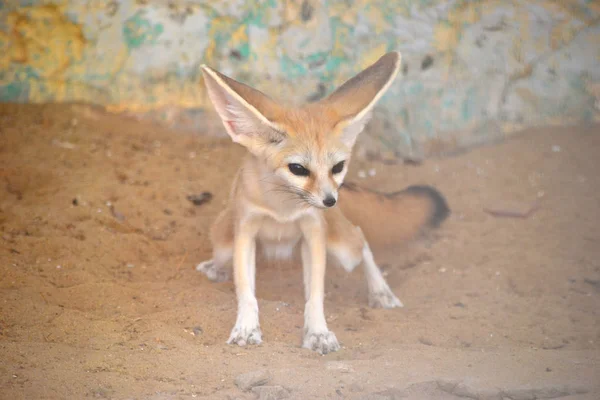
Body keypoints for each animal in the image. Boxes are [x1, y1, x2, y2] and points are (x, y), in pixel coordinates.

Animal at [195, 51, 448, 354]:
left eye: (338, 167)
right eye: (298, 169)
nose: (330, 200)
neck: (283, 209)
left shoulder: (314, 231)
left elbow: (315, 293)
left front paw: (318, 332)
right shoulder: (245, 230)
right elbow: (246, 291)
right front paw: (246, 327)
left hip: (342, 249)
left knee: (360, 239)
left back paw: (381, 292)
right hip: (224, 241)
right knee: (224, 257)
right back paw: (215, 268)